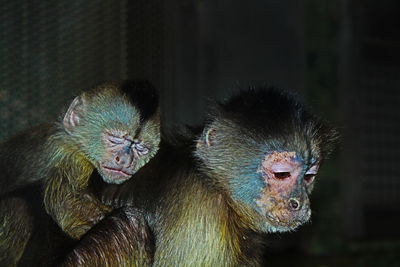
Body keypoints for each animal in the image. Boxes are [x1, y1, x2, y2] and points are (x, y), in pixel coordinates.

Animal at [60, 87, 338, 267]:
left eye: (309, 177)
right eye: (282, 175)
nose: (299, 203)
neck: (214, 184)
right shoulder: (201, 213)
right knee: (128, 225)